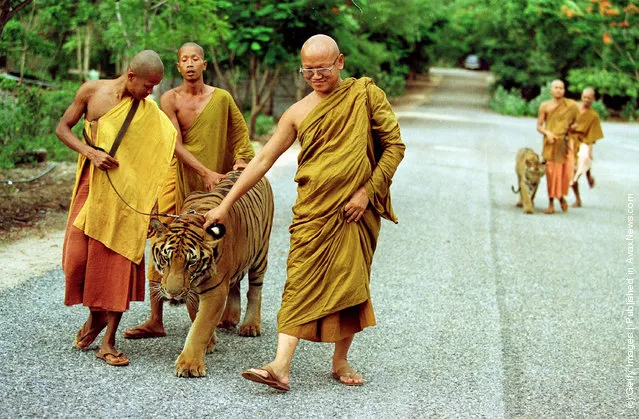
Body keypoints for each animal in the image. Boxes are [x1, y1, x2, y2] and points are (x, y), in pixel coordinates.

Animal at [151, 169, 276, 378]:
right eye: (166, 258)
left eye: (191, 262)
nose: (173, 293)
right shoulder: (192, 291)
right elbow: (195, 316)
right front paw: (209, 343)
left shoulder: (215, 291)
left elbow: (201, 326)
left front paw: (189, 365)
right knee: (235, 284)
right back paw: (229, 318)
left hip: (260, 253)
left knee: (254, 290)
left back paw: (250, 325)